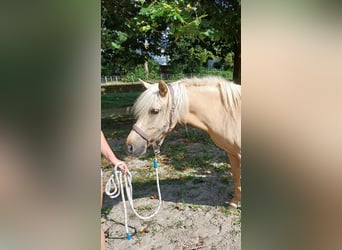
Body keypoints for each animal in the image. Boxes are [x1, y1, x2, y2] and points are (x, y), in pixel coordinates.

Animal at [125, 75, 240, 207]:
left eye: (155, 111)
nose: (130, 146)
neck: (230, 114)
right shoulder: (232, 152)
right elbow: (236, 175)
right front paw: (235, 202)